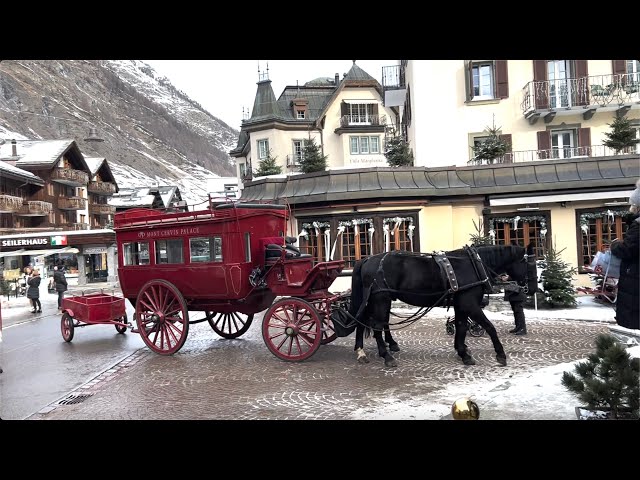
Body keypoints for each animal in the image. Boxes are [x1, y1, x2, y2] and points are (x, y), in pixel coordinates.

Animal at [348, 244, 536, 368]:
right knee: (377, 326)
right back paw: (386, 356)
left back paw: (363, 350)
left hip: (376, 300)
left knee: (364, 321)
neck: (474, 265)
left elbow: (461, 327)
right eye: (527, 263)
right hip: (381, 299)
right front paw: (500, 354)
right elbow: (489, 326)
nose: (532, 289)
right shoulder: (470, 304)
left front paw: (463, 352)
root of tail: (367, 259)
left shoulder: (461, 305)